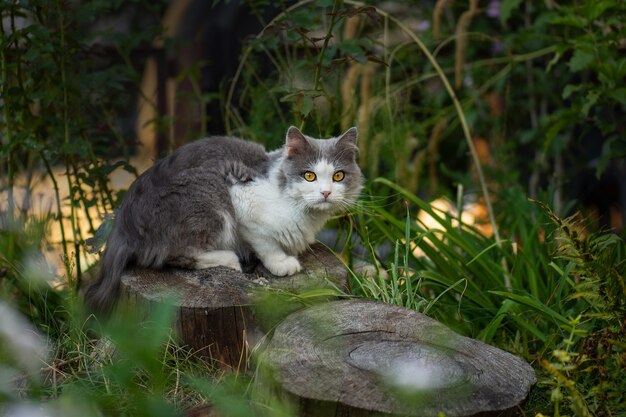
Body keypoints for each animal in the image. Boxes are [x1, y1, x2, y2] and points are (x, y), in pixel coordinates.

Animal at [85, 127, 364, 312]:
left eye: (338, 176)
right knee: (176, 255)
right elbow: (265, 242)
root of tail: (123, 225)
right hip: (208, 196)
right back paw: (230, 259)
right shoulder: (241, 193)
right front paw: (282, 263)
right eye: (309, 176)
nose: (326, 192)